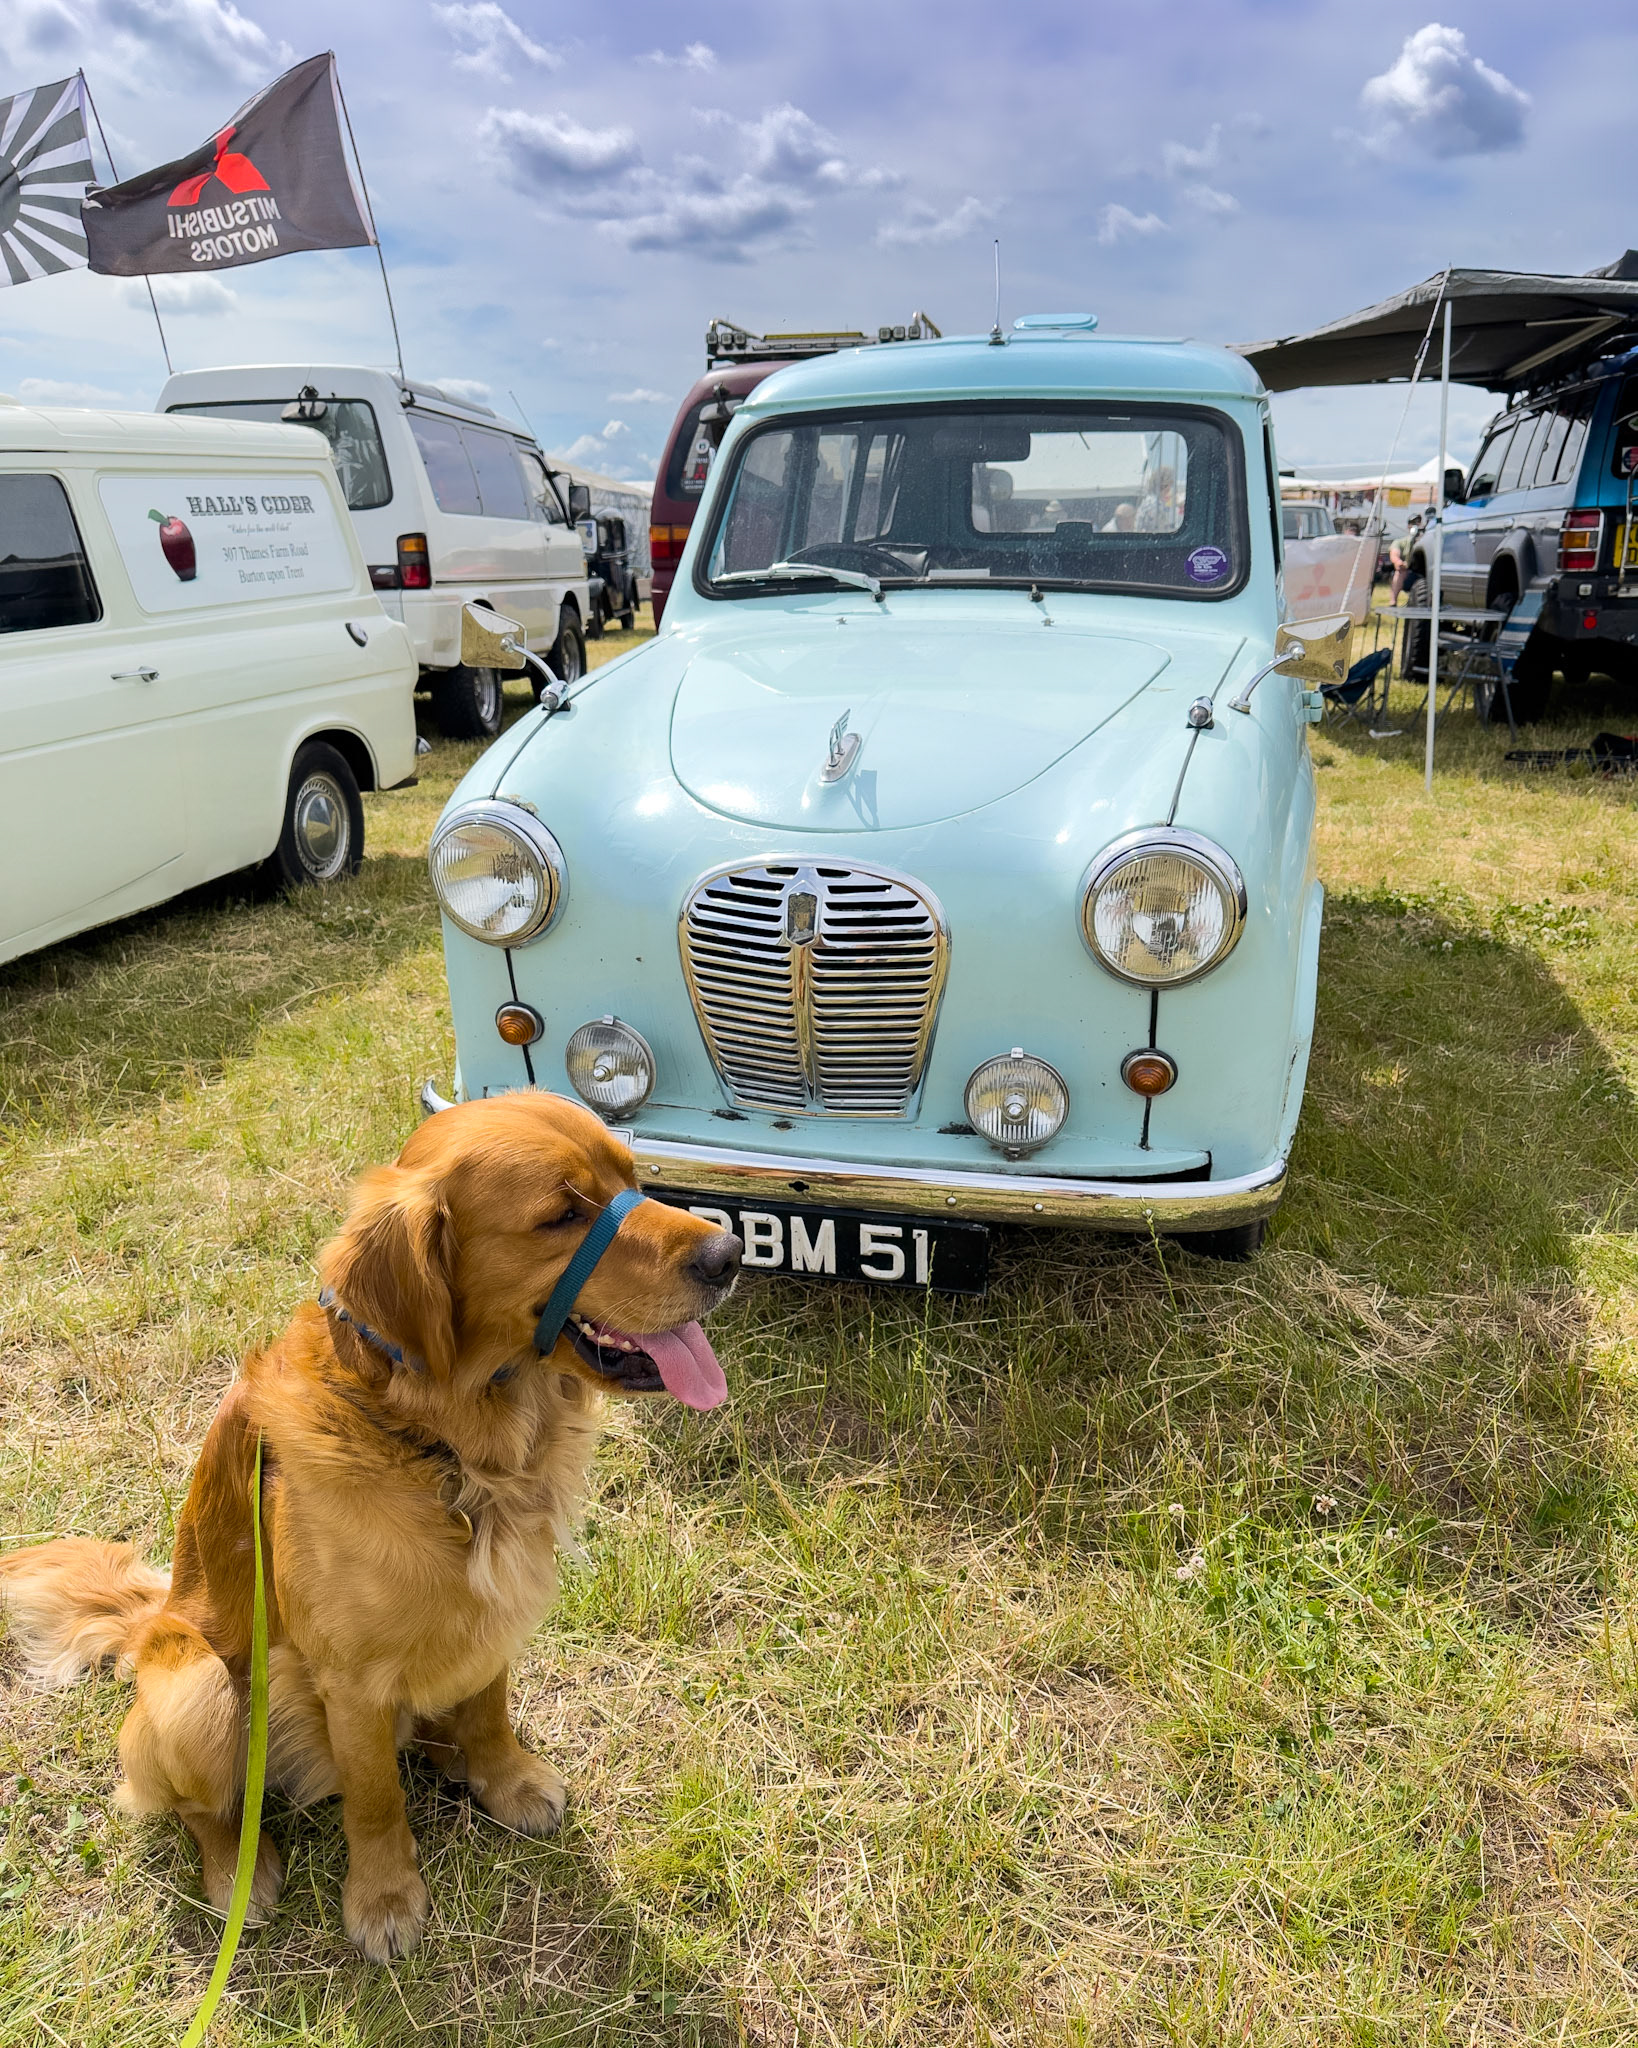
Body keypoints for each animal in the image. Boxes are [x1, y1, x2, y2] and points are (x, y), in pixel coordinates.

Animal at [0, 1092, 740, 1959]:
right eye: (561, 1215)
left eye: (632, 1178)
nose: (729, 1253)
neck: (442, 1443)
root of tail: (149, 1618)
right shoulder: (348, 1679)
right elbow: (374, 1796)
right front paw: (384, 1897)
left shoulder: (488, 1618)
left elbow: (490, 1708)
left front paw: (504, 1778)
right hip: (199, 1690)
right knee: (206, 1811)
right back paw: (240, 1875)